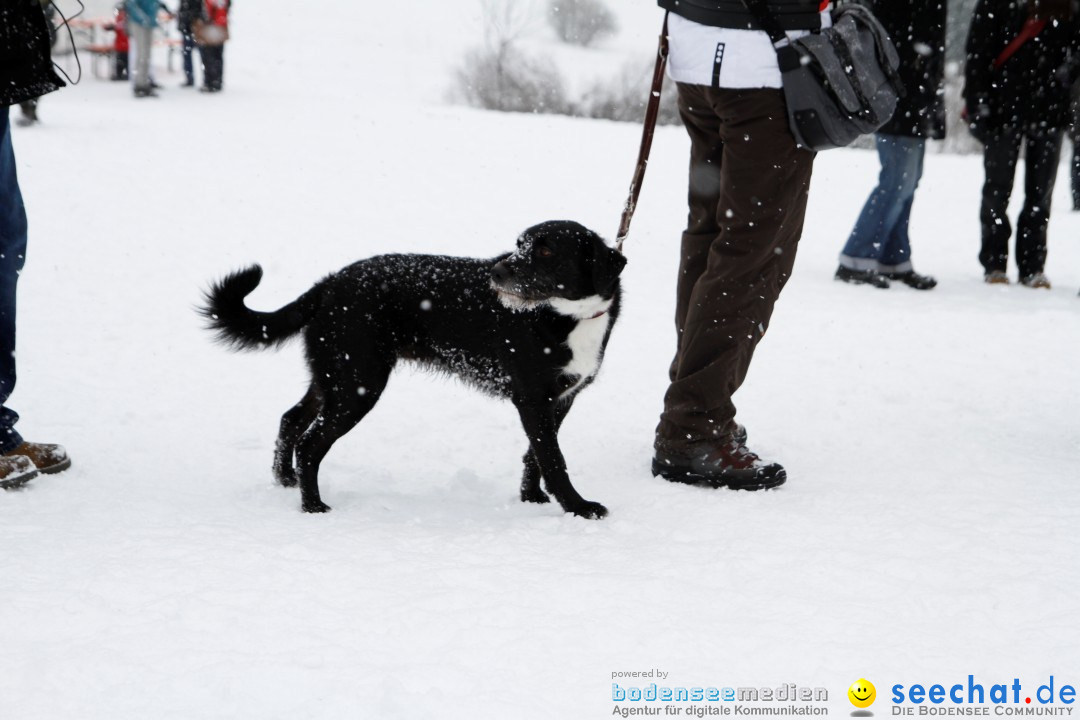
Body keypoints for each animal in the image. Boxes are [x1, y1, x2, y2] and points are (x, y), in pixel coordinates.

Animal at [201, 220, 626, 518]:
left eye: (547, 250)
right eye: (520, 244)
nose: (497, 272)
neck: (567, 317)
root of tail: (329, 284)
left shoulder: (561, 398)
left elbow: (535, 454)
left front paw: (532, 497)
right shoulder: (533, 400)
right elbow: (553, 458)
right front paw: (578, 508)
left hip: (333, 377)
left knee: (291, 419)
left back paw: (285, 479)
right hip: (358, 384)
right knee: (310, 442)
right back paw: (313, 508)